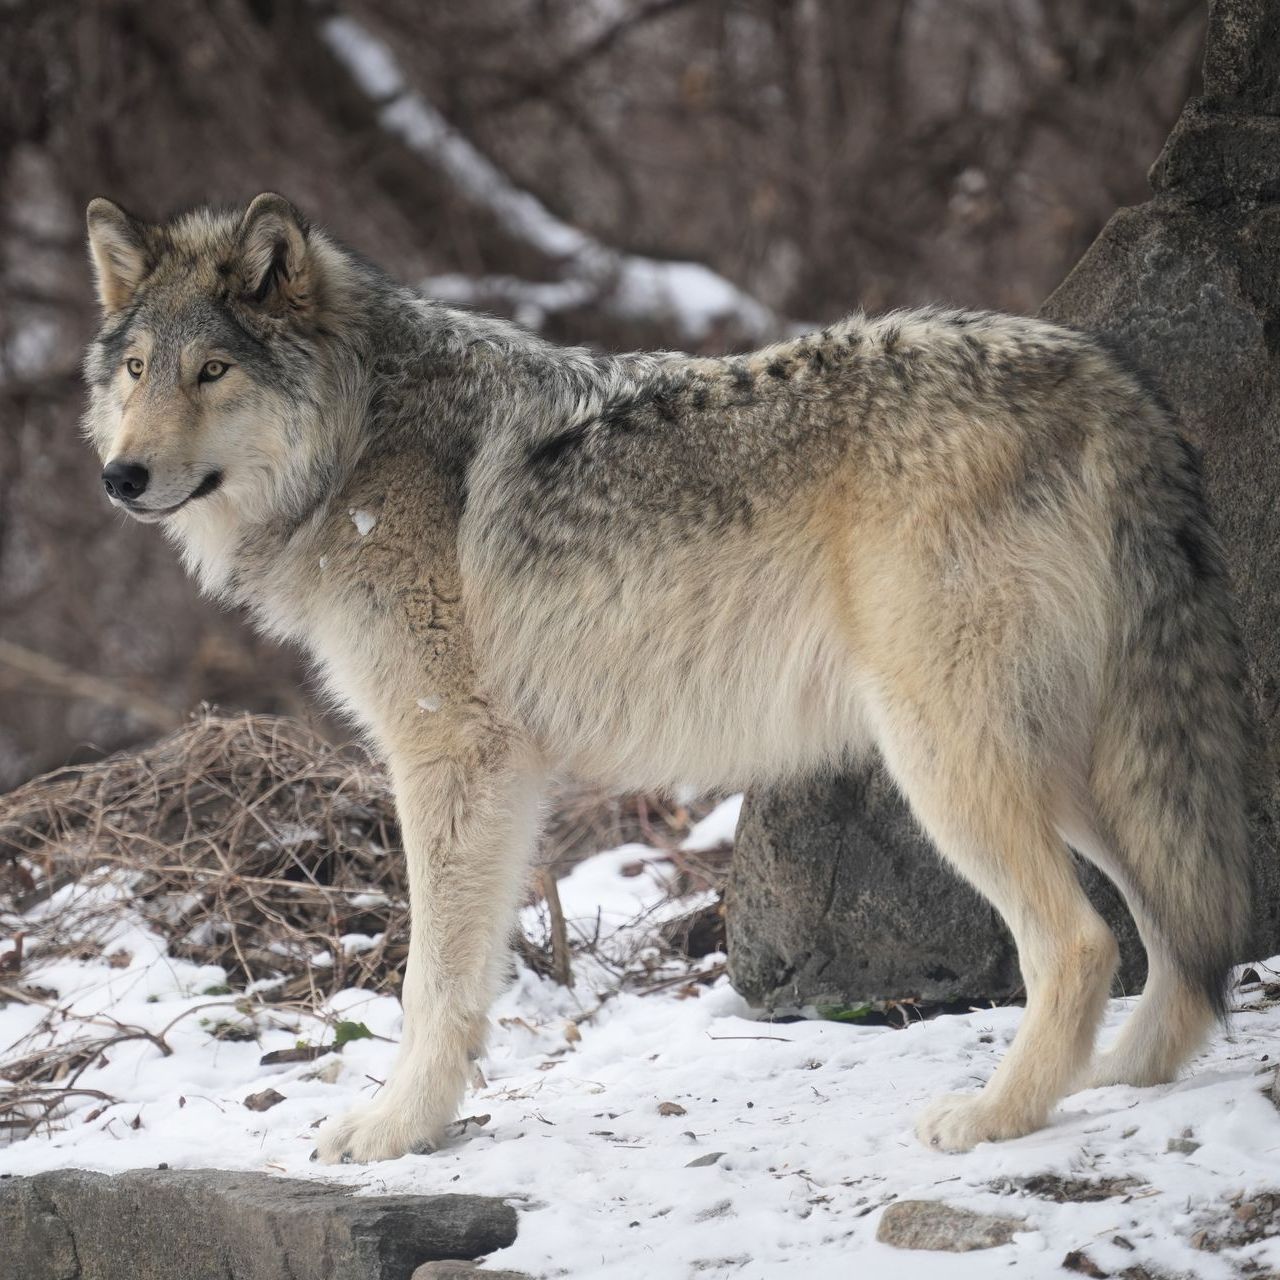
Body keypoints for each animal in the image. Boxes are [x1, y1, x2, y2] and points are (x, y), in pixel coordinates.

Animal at [80, 194, 1249, 1167]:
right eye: (137, 369)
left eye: (212, 371)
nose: (119, 477)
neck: (359, 437)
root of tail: (1100, 376)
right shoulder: (500, 772)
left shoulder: (453, 753)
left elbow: (432, 979)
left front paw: (396, 1129)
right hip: (1073, 762)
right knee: (1183, 928)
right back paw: (1121, 1077)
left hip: (947, 760)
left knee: (1083, 941)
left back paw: (995, 1116)